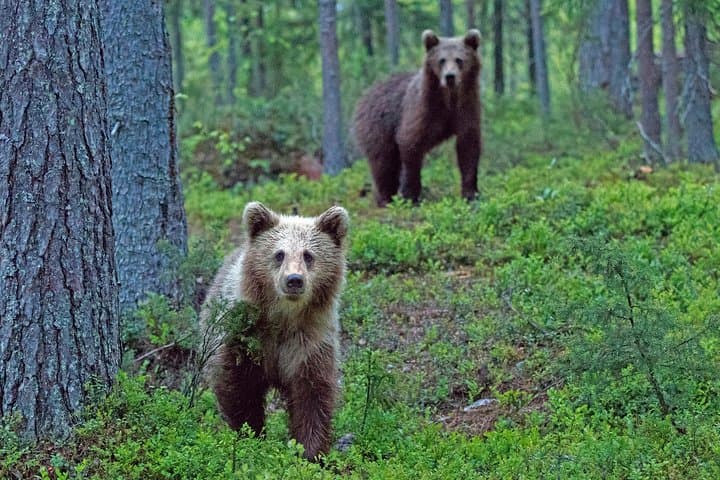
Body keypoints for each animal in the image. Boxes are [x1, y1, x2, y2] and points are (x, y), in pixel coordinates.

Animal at [200, 201, 349, 460]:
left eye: (308, 255)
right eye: (279, 254)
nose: (294, 280)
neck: (283, 318)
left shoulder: (310, 342)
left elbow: (313, 394)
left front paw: (310, 453)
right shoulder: (245, 336)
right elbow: (237, 386)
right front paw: (250, 435)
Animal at [352, 29, 482, 206]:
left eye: (459, 59)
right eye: (441, 60)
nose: (450, 77)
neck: (448, 98)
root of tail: (366, 94)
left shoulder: (466, 107)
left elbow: (468, 146)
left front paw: (471, 194)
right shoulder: (421, 109)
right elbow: (410, 142)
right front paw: (410, 196)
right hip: (378, 128)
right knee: (384, 163)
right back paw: (386, 198)